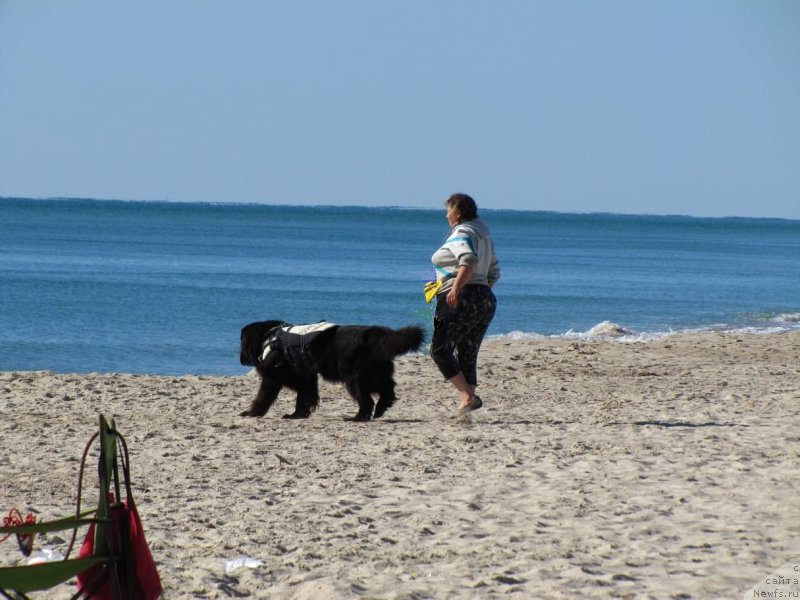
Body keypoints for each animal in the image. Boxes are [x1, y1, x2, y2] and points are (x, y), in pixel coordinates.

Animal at [238, 318, 424, 422]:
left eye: (241, 343)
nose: (240, 358)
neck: (268, 337)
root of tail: (373, 335)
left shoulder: (274, 378)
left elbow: (263, 398)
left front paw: (252, 413)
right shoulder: (306, 378)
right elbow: (305, 398)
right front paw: (297, 415)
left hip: (354, 380)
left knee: (367, 401)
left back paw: (357, 418)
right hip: (376, 374)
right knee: (388, 391)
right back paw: (380, 409)